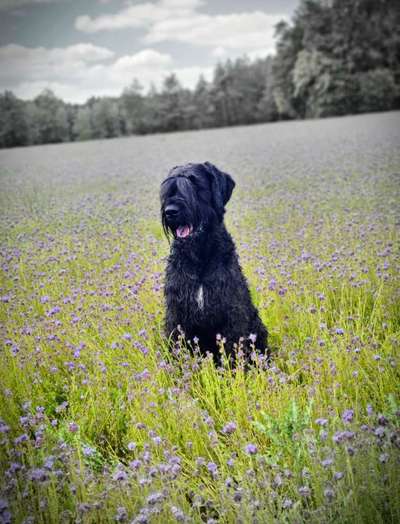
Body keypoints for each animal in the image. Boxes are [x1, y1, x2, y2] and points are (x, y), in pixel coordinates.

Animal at [160, 161, 268, 364]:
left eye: (194, 183)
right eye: (169, 189)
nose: (170, 211)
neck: (199, 259)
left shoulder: (232, 312)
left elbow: (233, 346)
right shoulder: (176, 313)